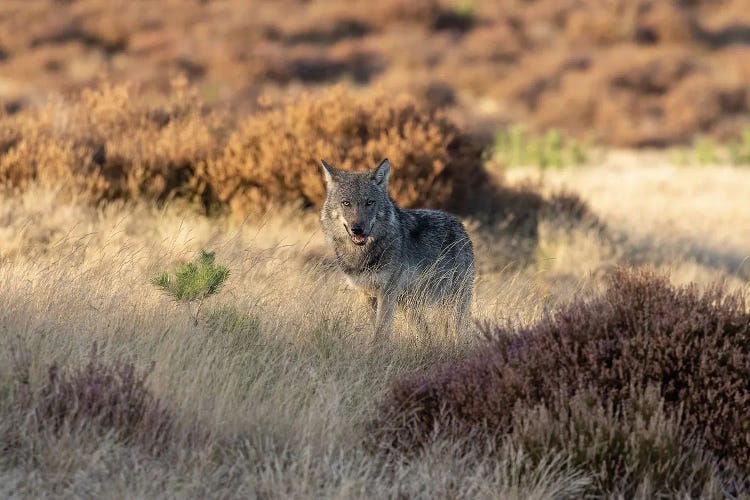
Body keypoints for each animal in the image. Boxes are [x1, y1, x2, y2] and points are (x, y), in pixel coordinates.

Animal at [318, 158, 476, 342]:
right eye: (346, 203)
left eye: (369, 202)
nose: (357, 229)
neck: (362, 255)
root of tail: (459, 224)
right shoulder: (366, 294)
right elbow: (376, 327)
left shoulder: (387, 292)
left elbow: (381, 331)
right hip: (409, 305)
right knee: (426, 333)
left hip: (454, 302)